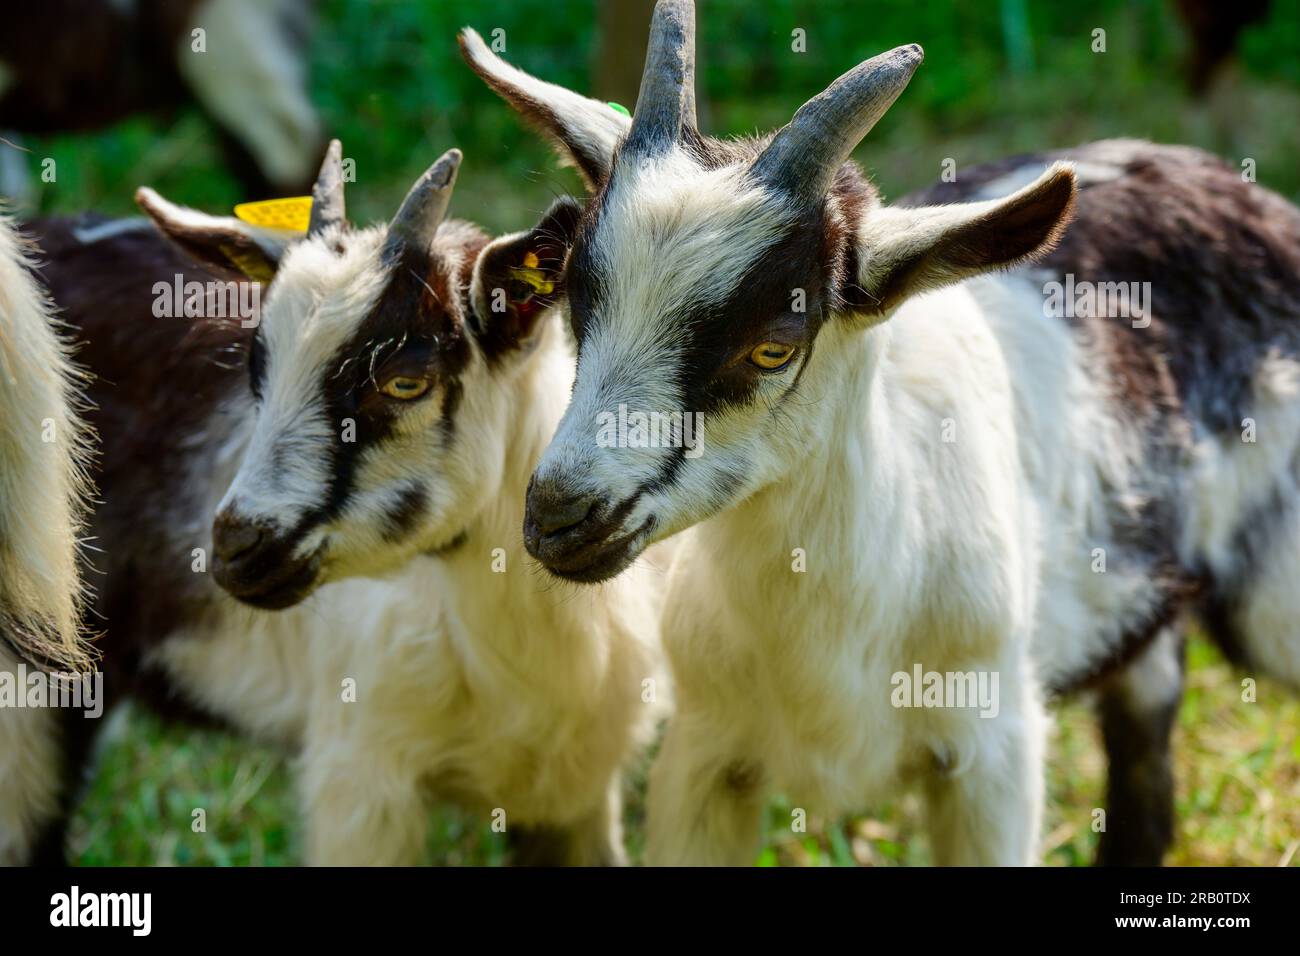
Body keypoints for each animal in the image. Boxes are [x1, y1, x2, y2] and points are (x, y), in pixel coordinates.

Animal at [462, 0, 1300, 868]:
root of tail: (1222, 181)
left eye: (774, 345)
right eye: (576, 301)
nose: (560, 517)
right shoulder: (702, 759)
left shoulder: (992, 759)